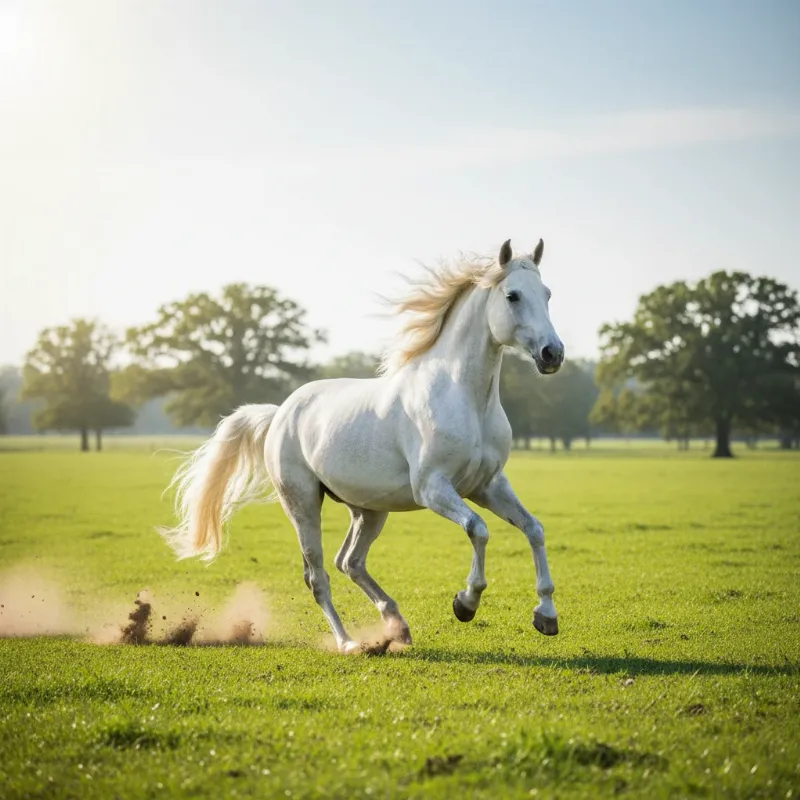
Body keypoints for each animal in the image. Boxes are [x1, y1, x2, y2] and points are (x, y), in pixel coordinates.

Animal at [162, 237, 565, 653]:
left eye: (547, 293)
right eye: (513, 295)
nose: (553, 354)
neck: (465, 397)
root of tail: (280, 414)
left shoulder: (488, 485)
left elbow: (534, 529)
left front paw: (546, 616)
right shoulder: (433, 489)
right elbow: (478, 529)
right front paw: (465, 603)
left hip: (369, 510)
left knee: (350, 562)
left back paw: (397, 626)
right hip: (303, 504)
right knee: (318, 575)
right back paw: (349, 643)